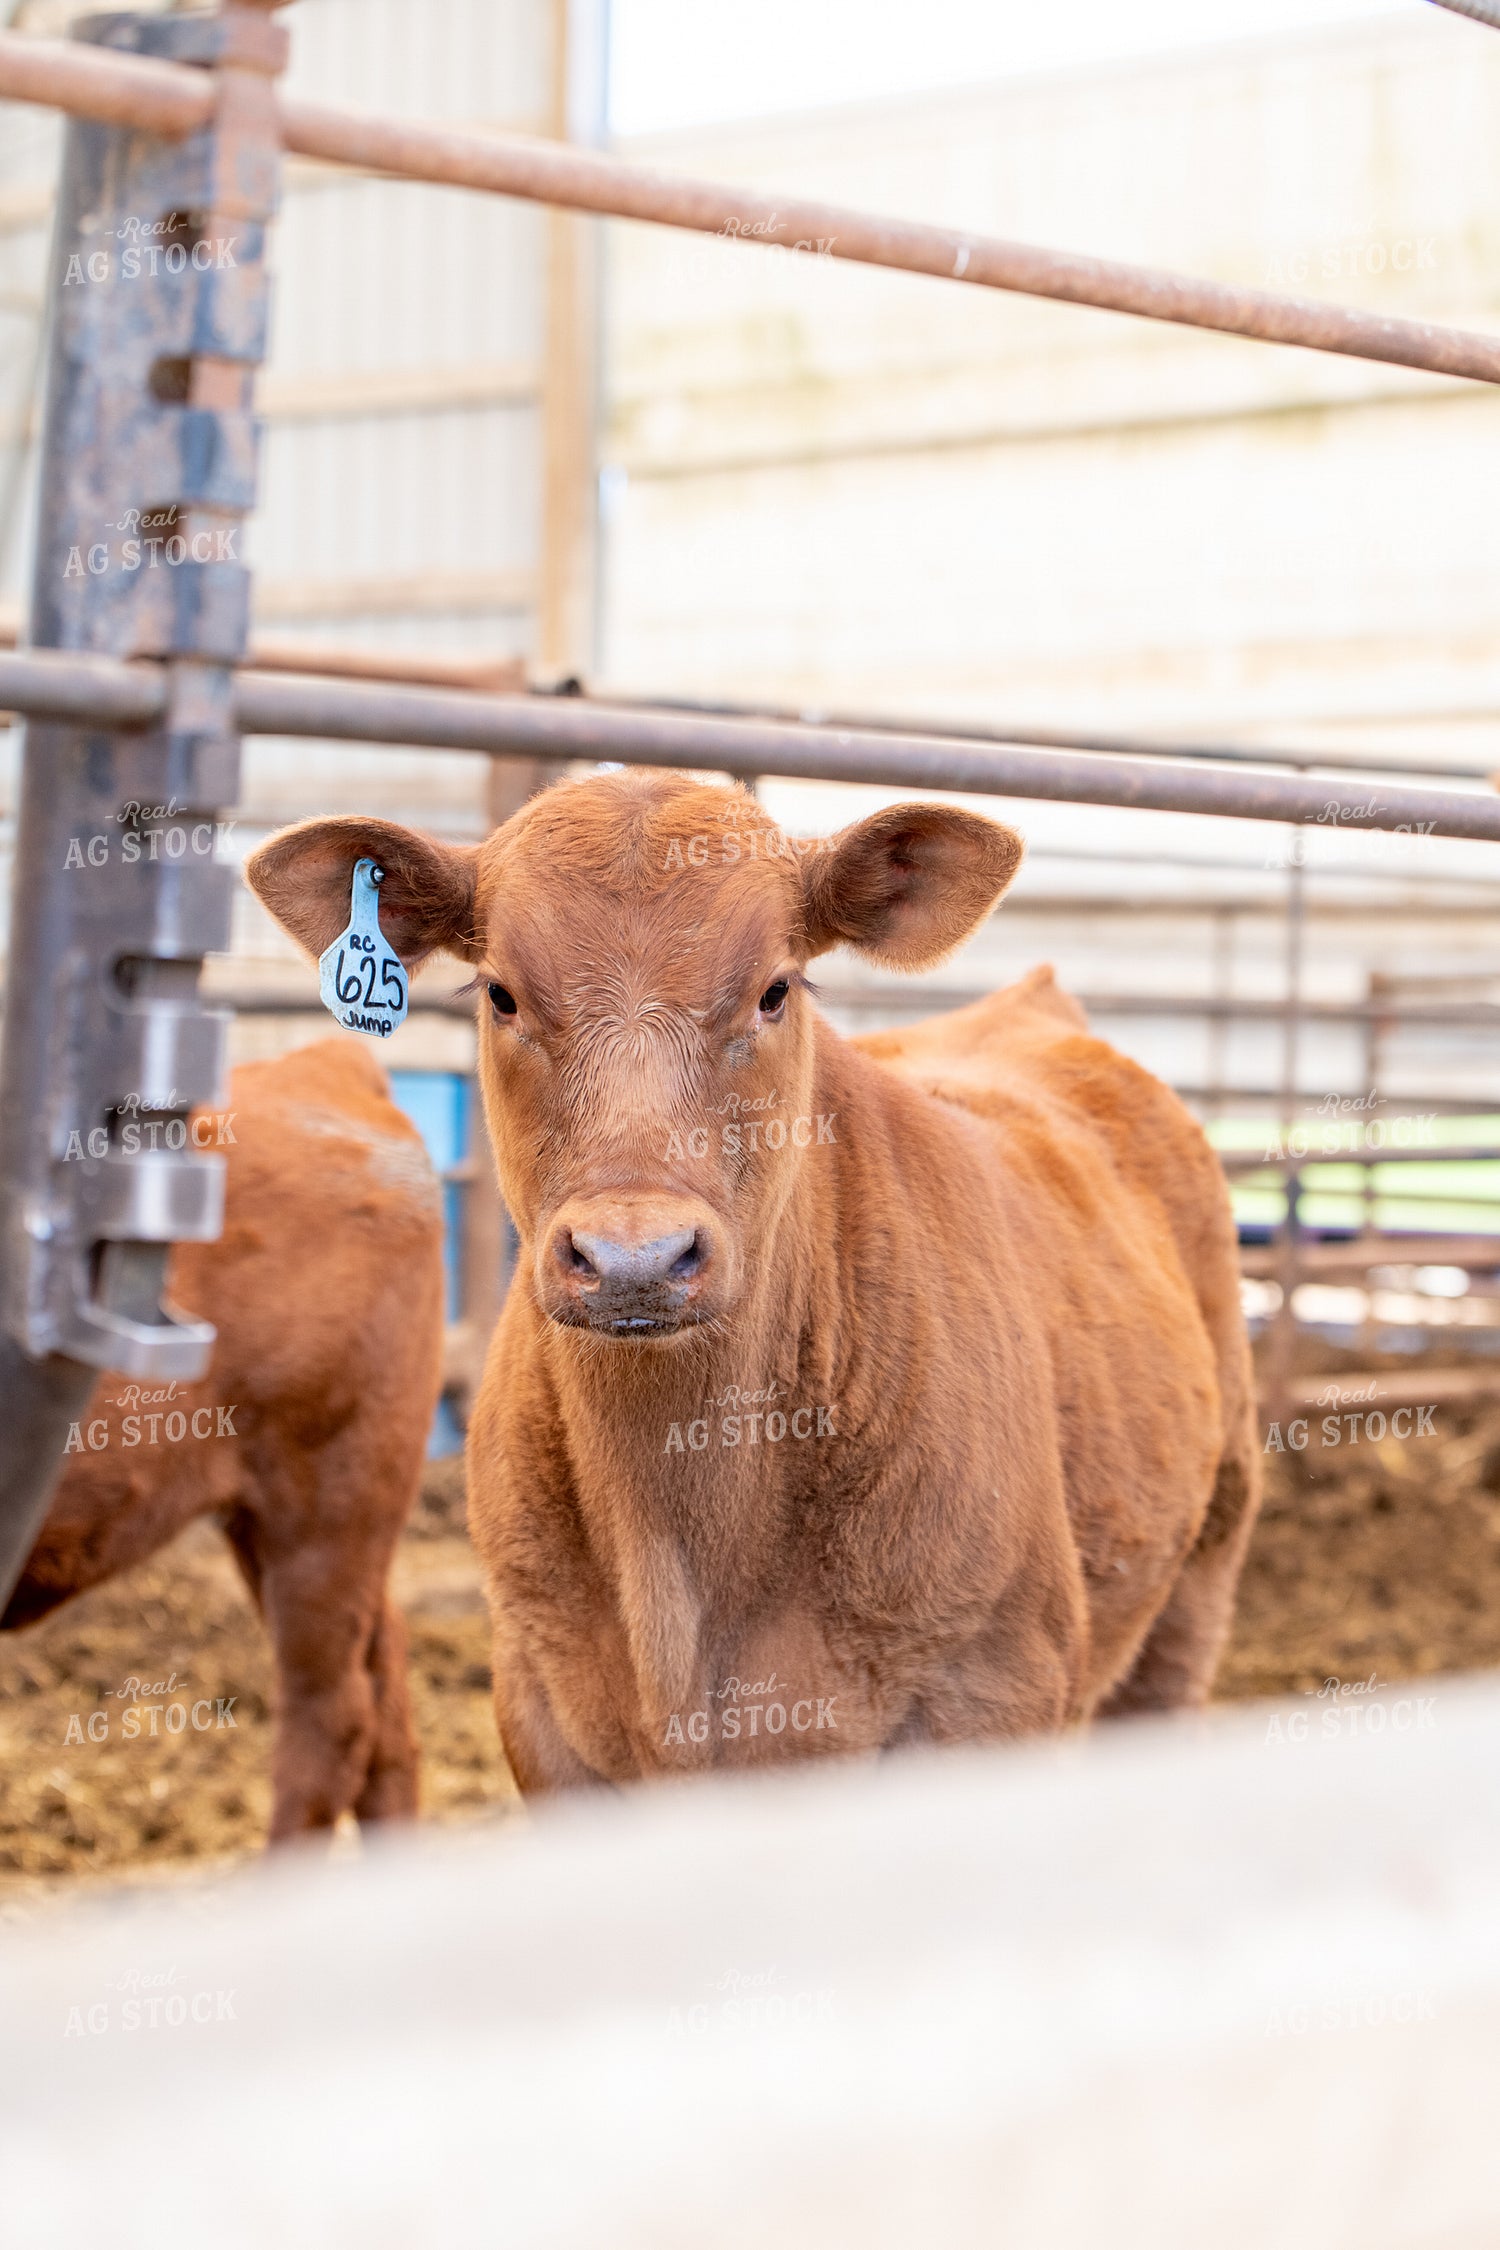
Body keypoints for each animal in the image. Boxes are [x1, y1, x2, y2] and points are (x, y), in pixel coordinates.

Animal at [246, 770, 1260, 1791]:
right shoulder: (540, 1706)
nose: (635, 1257)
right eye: (501, 994)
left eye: (775, 990)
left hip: (1204, 1565)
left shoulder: (994, 1687)